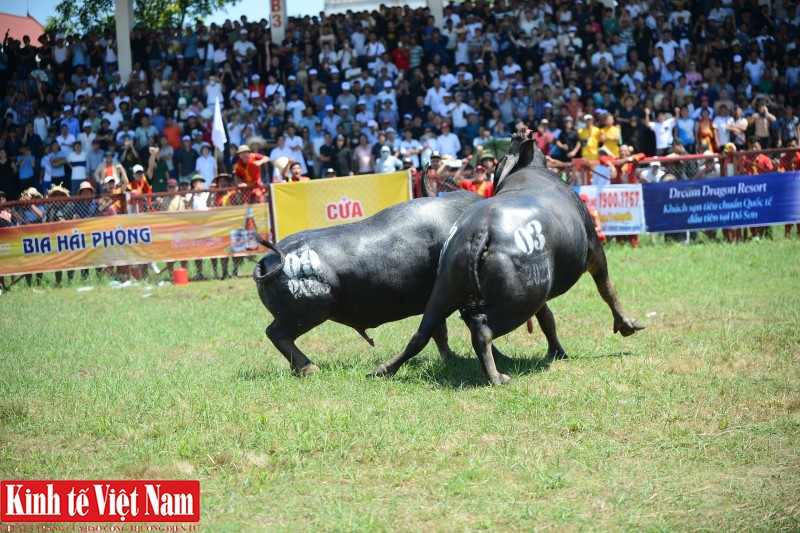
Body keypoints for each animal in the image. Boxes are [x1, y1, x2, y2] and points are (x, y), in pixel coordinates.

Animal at [368, 131, 644, 384]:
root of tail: (481, 231)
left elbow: (547, 319)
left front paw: (557, 352)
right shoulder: (595, 252)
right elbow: (607, 290)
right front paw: (627, 325)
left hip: (447, 288)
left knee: (424, 332)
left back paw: (384, 368)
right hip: (521, 301)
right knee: (481, 329)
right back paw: (496, 376)